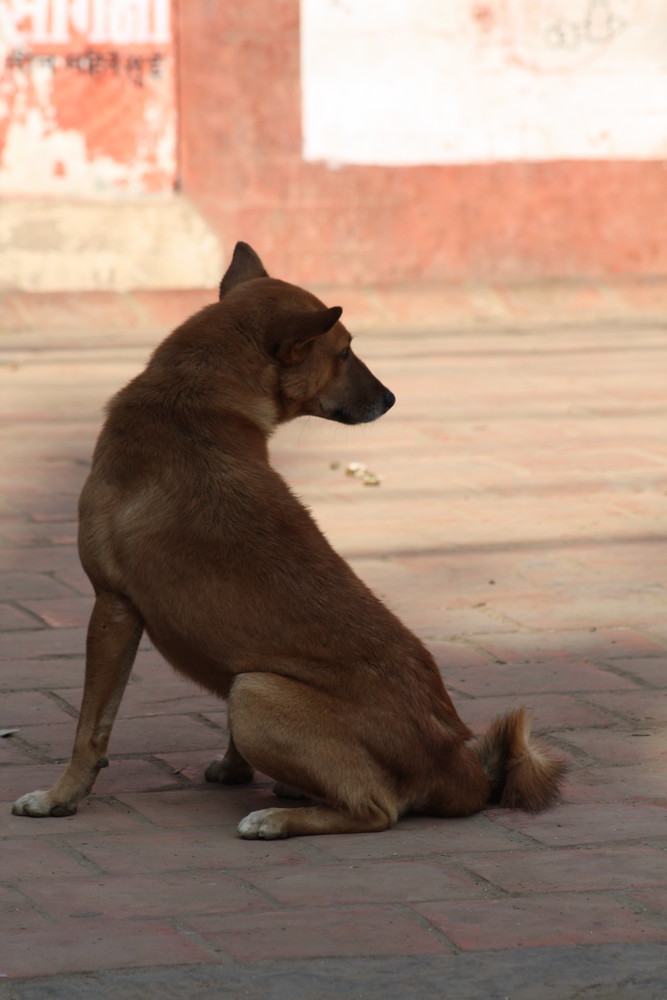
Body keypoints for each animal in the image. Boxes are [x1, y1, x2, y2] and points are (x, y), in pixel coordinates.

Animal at [11, 242, 564, 836]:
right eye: (344, 353)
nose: (391, 398)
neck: (192, 398)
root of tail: (458, 762)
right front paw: (233, 769)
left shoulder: (113, 606)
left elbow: (90, 729)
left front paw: (59, 797)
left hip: (253, 691)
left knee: (377, 809)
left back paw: (275, 818)